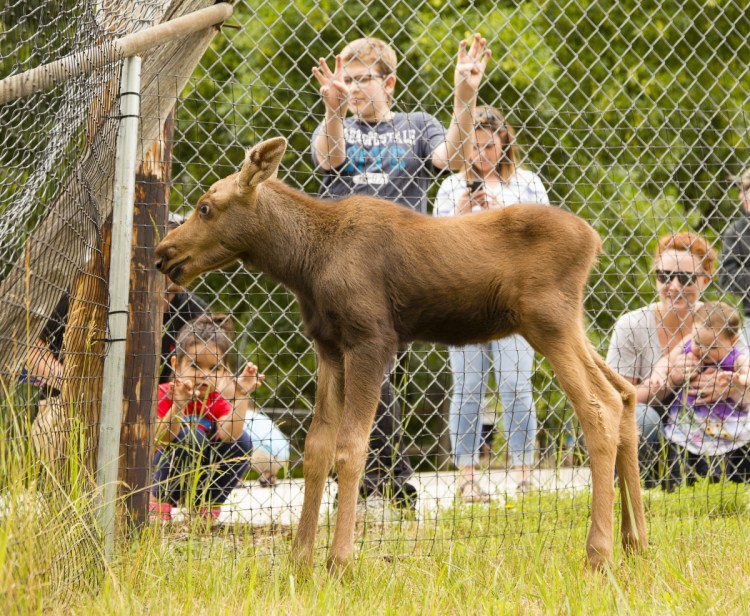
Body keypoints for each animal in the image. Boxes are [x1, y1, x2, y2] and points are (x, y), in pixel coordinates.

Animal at [156, 137, 648, 572]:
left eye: (205, 207)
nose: (163, 252)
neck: (303, 262)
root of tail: (594, 240)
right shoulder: (329, 347)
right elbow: (316, 449)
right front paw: (299, 561)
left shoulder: (372, 339)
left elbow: (352, 449)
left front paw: (339, 561)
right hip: (563, 323)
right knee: (625, 393)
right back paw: (636, 542)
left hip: (548, 321)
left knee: (599, 406)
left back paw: (598, 553)